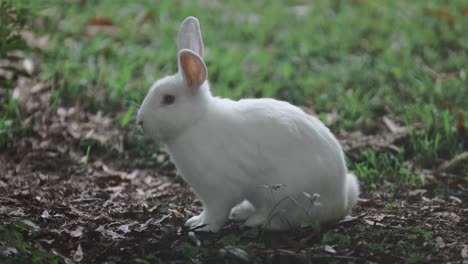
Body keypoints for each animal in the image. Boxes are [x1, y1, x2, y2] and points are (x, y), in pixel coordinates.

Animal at [137, 16, 360, 232]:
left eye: (168, 99)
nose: (140, 121)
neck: (196, 121)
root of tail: (341, 199)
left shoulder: (218, 191)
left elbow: (216, 213)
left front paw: (201, 225)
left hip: (287, 193)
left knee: (282, 217)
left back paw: (255, 221)